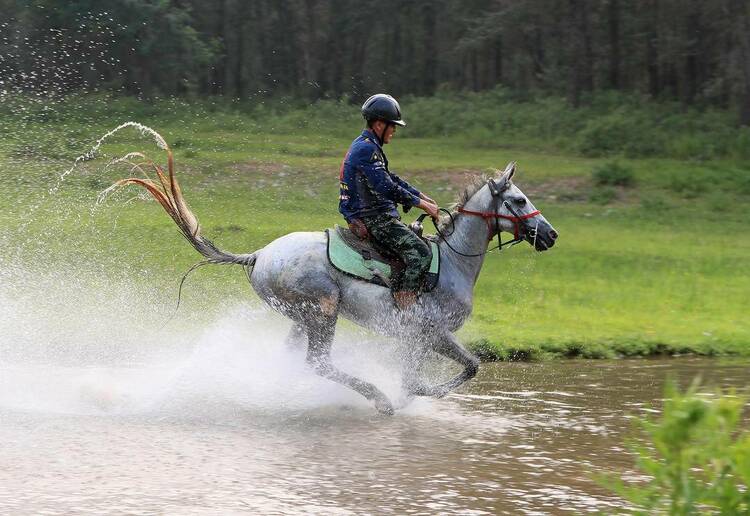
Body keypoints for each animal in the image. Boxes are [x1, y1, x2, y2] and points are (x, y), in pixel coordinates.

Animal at [111, 149, 560, 416]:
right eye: (518, 200)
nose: (551, 235)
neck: (451, 263)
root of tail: (258, 255)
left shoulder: (417, 338)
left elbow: (438, 374)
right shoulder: (430, 333)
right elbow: (463, 369)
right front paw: (412, 397)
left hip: (302, 319)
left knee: (297, 360)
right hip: (323, 310)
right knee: (319, 363)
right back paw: (378, 399)